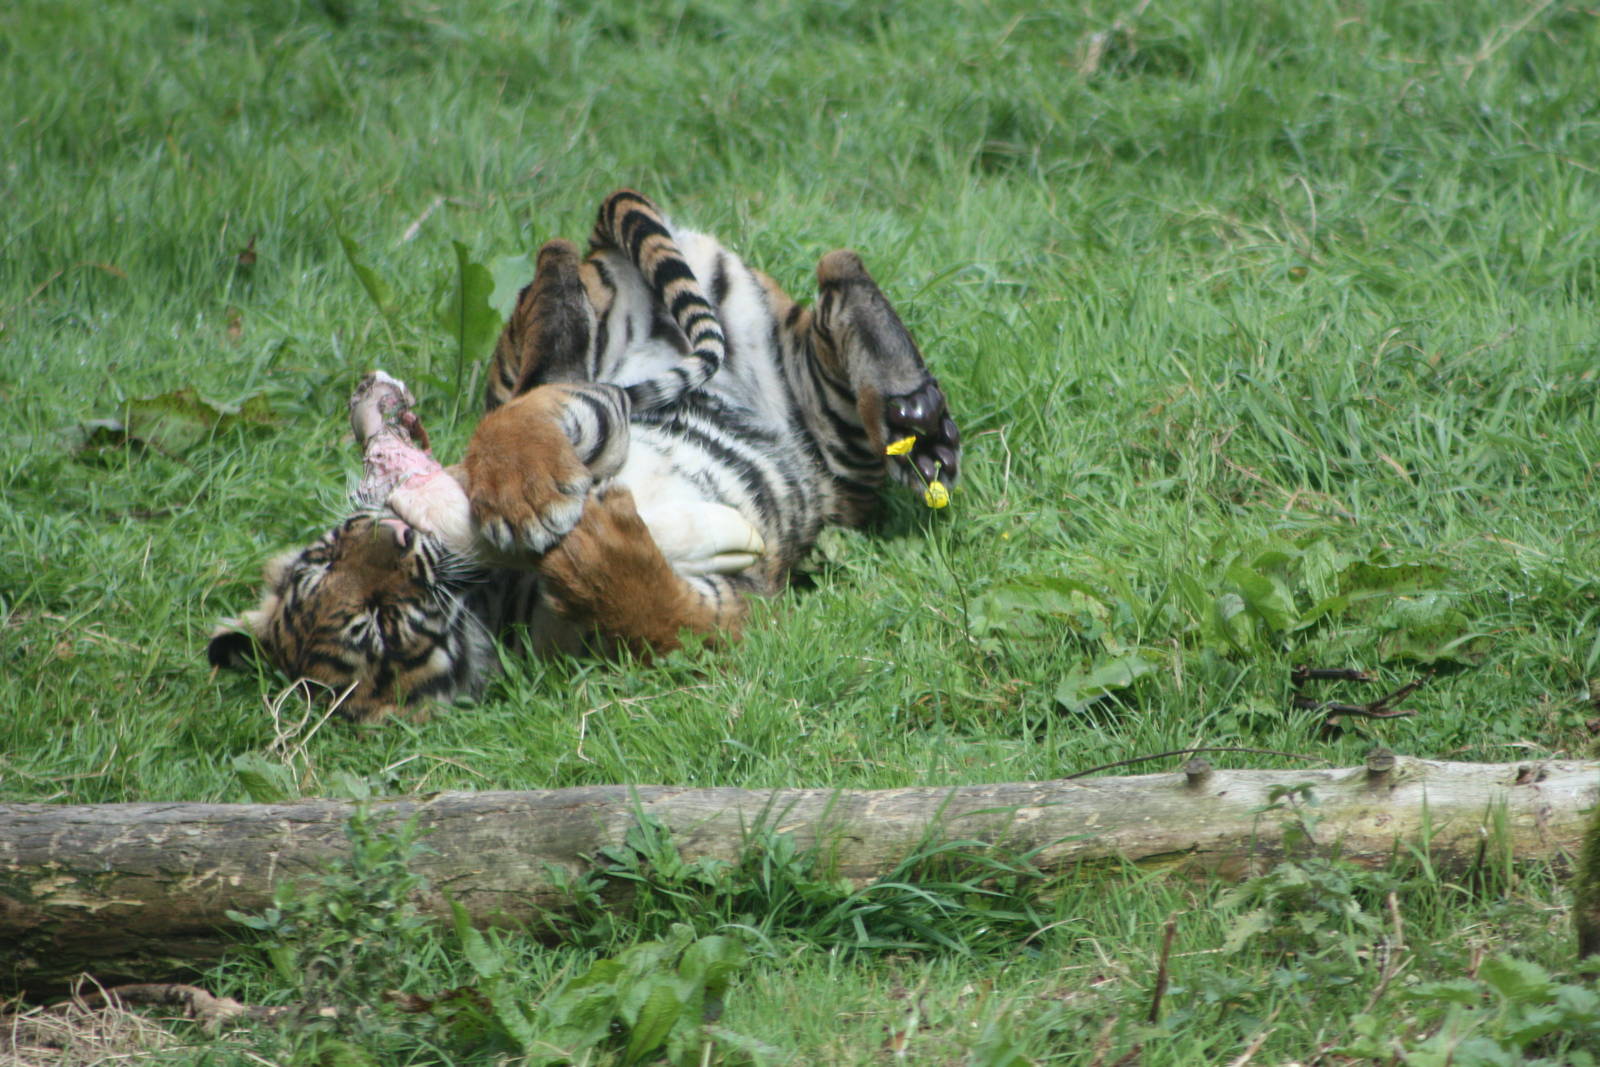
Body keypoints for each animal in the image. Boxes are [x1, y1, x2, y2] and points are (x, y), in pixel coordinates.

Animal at [208, 190, 962, 722]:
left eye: (328, 551)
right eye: (380, 624)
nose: (394, 531)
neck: (485, 587)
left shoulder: (571, 411)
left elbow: (512, 431)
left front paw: (531, 497)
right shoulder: (738, 609)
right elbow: (665, 617)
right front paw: (596, 549)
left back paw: (918, 414)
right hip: (831, 428)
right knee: (838, 284)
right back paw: (912, 416)